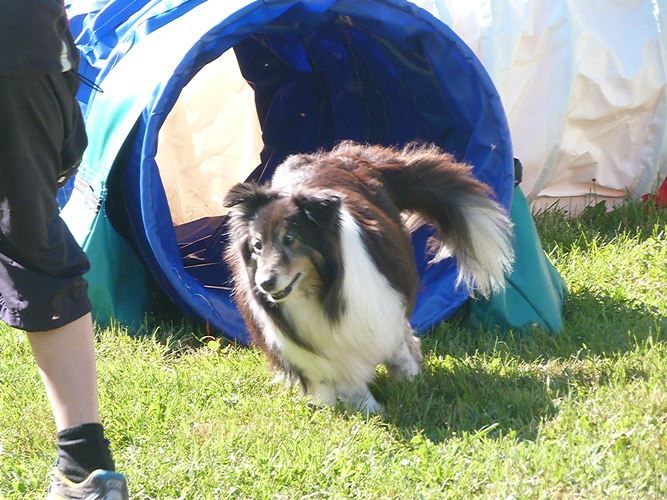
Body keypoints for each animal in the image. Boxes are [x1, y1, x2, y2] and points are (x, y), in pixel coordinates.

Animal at [224, 140, 516, 410]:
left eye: (290, 239)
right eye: (257, 245)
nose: (265, 284)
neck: (322, 295)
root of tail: (344, 155)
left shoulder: (381, 311)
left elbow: (398, 354)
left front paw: (412, 385)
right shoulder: (321, 352)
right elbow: (349, 382)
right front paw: (370, 411)